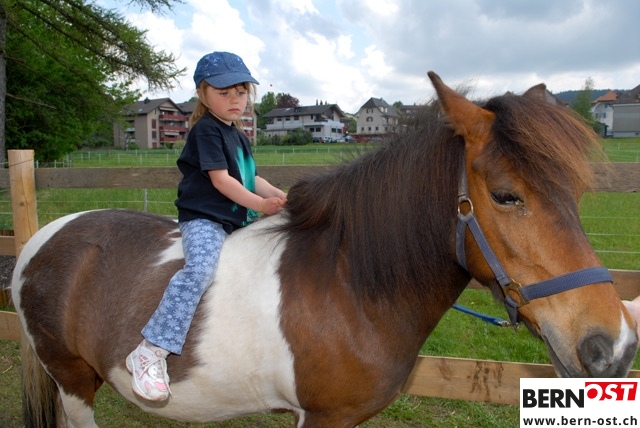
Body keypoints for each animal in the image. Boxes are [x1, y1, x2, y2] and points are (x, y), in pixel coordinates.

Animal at [12, 72, 638, 428]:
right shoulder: (323, 418)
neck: (348, 284)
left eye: (577, 195)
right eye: (508, 196)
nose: (614, 347)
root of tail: (41, 240)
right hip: (71, 379)